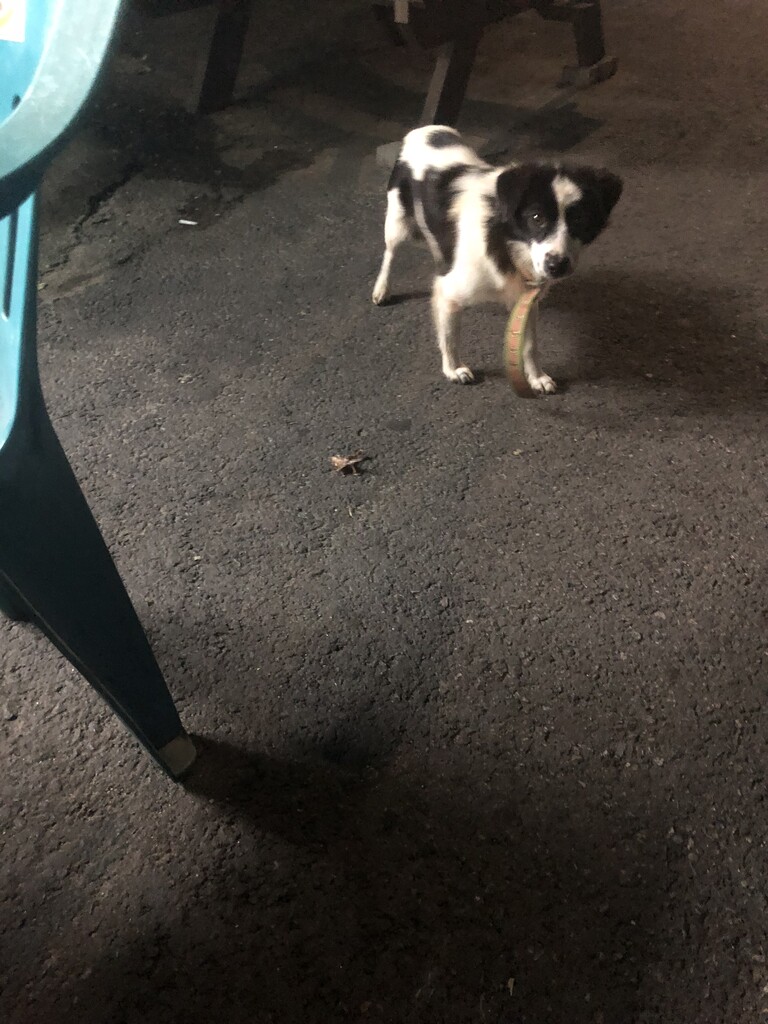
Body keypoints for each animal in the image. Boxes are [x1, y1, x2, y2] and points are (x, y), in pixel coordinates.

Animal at [372, 126, 622, 393]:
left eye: (580, 219)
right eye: (536, 218)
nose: (557, 266)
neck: (504, 240)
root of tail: (426, 129)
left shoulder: (527, 298)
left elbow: (530, 345)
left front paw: (536, 377)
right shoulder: (450, 292)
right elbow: (450, 335)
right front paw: (453, 369)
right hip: (398, 223)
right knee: (390, 253)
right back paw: (382, 288)